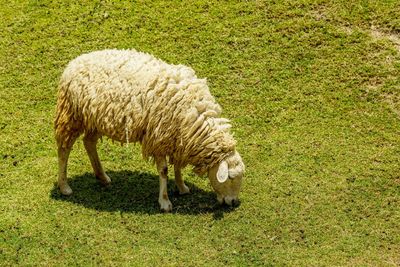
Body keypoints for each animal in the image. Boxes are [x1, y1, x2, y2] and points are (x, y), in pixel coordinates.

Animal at [54, 49, 245, 213]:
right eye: (230, 177)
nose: (234, 202)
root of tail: (73, 63)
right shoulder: (159, 137)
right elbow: (164, 171)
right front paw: (165, 201)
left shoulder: (178, 138)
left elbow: (177, 165)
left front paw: (182, 187)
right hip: (71, 115)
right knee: (64, 149)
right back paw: (64, 187)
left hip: (96, 119)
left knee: (89, 142)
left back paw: (102, 176)